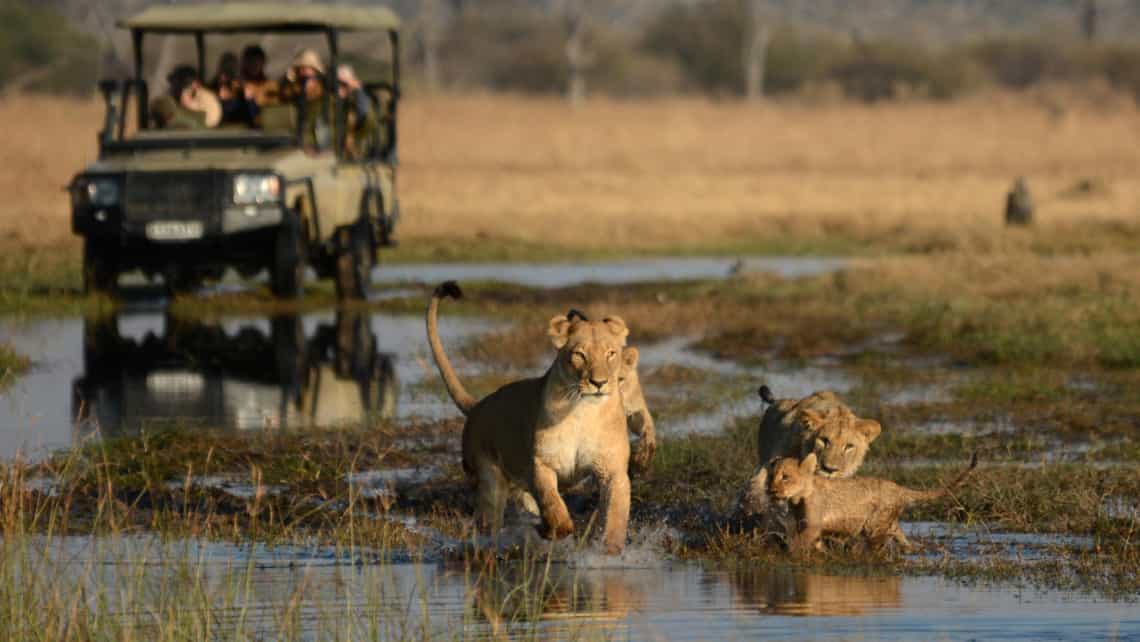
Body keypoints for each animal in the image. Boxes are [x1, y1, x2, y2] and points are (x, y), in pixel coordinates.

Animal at [426, 281, 633, 551]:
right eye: (579, 355)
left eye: (611, 353)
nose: (599, 383)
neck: (583, 411)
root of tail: (478, 405)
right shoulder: (541, 464)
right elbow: (553, 505)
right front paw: (551, 530)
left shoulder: (613, 469)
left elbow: (614, 518)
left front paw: (607, 551)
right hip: (489, 480)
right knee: (488, 521)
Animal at [770, 451, 975, 551]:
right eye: (772, 476)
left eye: (785, 477)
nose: (771, 490)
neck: (797, 498)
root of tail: (899, 488)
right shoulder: (807, 527)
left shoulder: (812, 527)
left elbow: (797, 545)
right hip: (890, 524)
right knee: (903, 541)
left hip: (874, 526)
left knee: (876, 547)